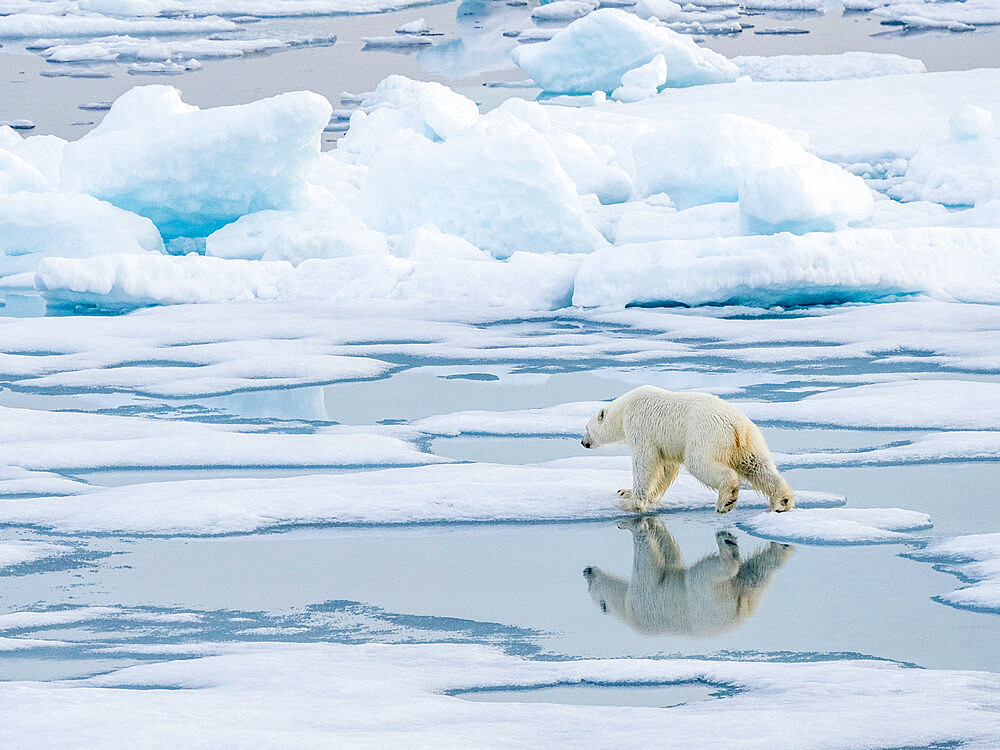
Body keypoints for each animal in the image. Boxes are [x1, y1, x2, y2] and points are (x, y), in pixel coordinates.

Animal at [584, 384, 792, 516]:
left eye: (587, 428)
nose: (583, 442)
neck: (625, 407)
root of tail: (736, 426)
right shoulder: (666, 442)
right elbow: (666, 467)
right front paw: (626, 492)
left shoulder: (640, 427)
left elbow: (645, 462)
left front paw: (631, 502)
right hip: (750, 442)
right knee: (757, 467)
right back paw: (782, 501)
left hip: (705, 435)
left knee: (700, 463)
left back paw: (726, 501)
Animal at [584, 520, 792, 636]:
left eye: (590, 589)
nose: (586, 571)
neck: (625, 609)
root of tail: (740, 609)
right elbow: (669, 554)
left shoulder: (640, 600)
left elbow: (649, 564)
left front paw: (630, 524)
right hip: (744, 595)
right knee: (756, 571)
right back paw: (780, 548)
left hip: (706, 596)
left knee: (709, 570)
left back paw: (725, 541)